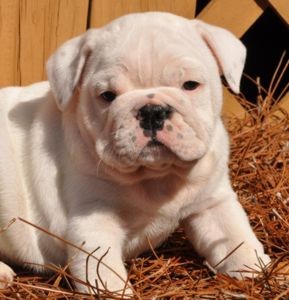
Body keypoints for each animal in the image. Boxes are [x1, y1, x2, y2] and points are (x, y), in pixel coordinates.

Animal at [0, 11, 270, 296]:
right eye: (107, 95)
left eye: (190, 85)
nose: (152, 111)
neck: (156, 177)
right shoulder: (94, 222)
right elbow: (105, 272)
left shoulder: (212, 202)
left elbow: (235, 236)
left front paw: (255, 268)